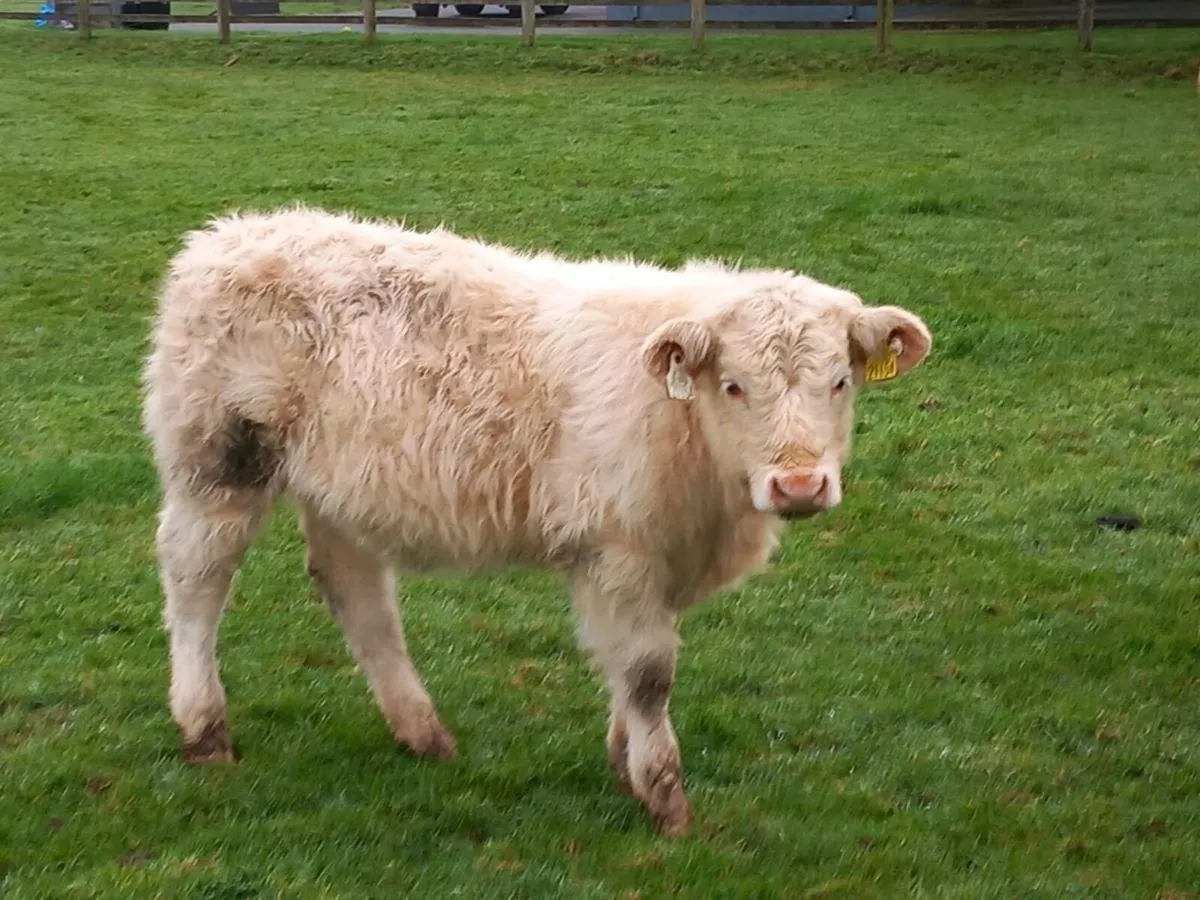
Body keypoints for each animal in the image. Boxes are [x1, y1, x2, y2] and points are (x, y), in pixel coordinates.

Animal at [141, 205, 932, 836]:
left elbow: (630, 664)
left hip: (341, 487)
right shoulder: (619, 552)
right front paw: (664, 796)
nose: (799, 484)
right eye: (735, 386)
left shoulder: (653, 559)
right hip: (217, 464)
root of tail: (231, 234)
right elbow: (648, 672)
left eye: (840, 381)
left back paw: (421, 731)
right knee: (195, 580)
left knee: (357, 594)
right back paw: (205, 728)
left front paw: (624, 758)